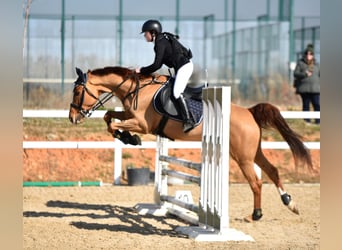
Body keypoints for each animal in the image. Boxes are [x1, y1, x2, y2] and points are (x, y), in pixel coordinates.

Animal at [69, 66, 312, 221]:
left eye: (78, 91)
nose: (72, 118)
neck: (136, 89)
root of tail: (249, 112)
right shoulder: (129, 115)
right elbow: (108, 117)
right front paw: (126, 137)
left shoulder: (142, 124)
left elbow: (114, 124)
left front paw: (129, 138)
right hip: (253, 152)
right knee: (272, 170)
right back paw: (290, 203)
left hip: (242, 156)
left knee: (256, 182)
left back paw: (256, 215)